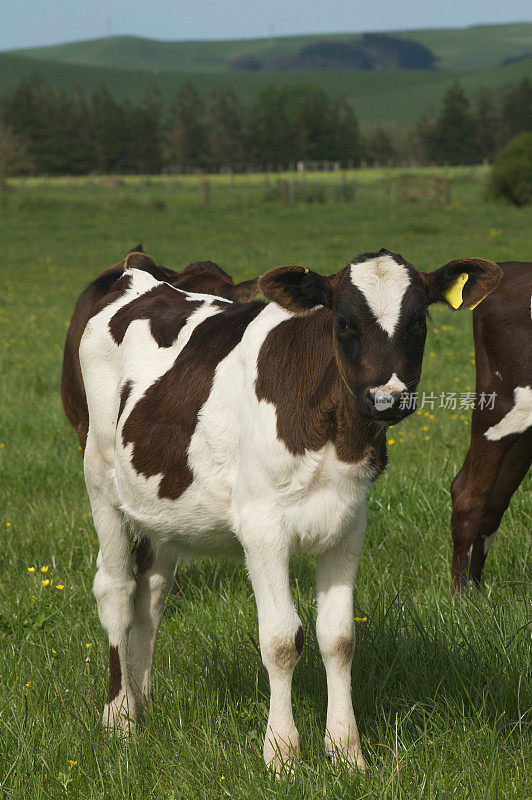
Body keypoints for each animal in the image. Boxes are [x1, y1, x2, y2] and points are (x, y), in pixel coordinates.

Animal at [78, 250, 498, 776]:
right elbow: (281, 640)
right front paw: (281, 754)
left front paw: (346, 752)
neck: (335, 431)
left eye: (419, 321)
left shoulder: (348, 524)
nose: (387, 397)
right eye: (343, 322)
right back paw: (119, 720)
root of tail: (141, 274)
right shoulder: (262, 528)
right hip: (100, 480)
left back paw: (142, 701)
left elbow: (339, 637)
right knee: (116, 591)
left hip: (162, 510)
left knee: (151, 593)